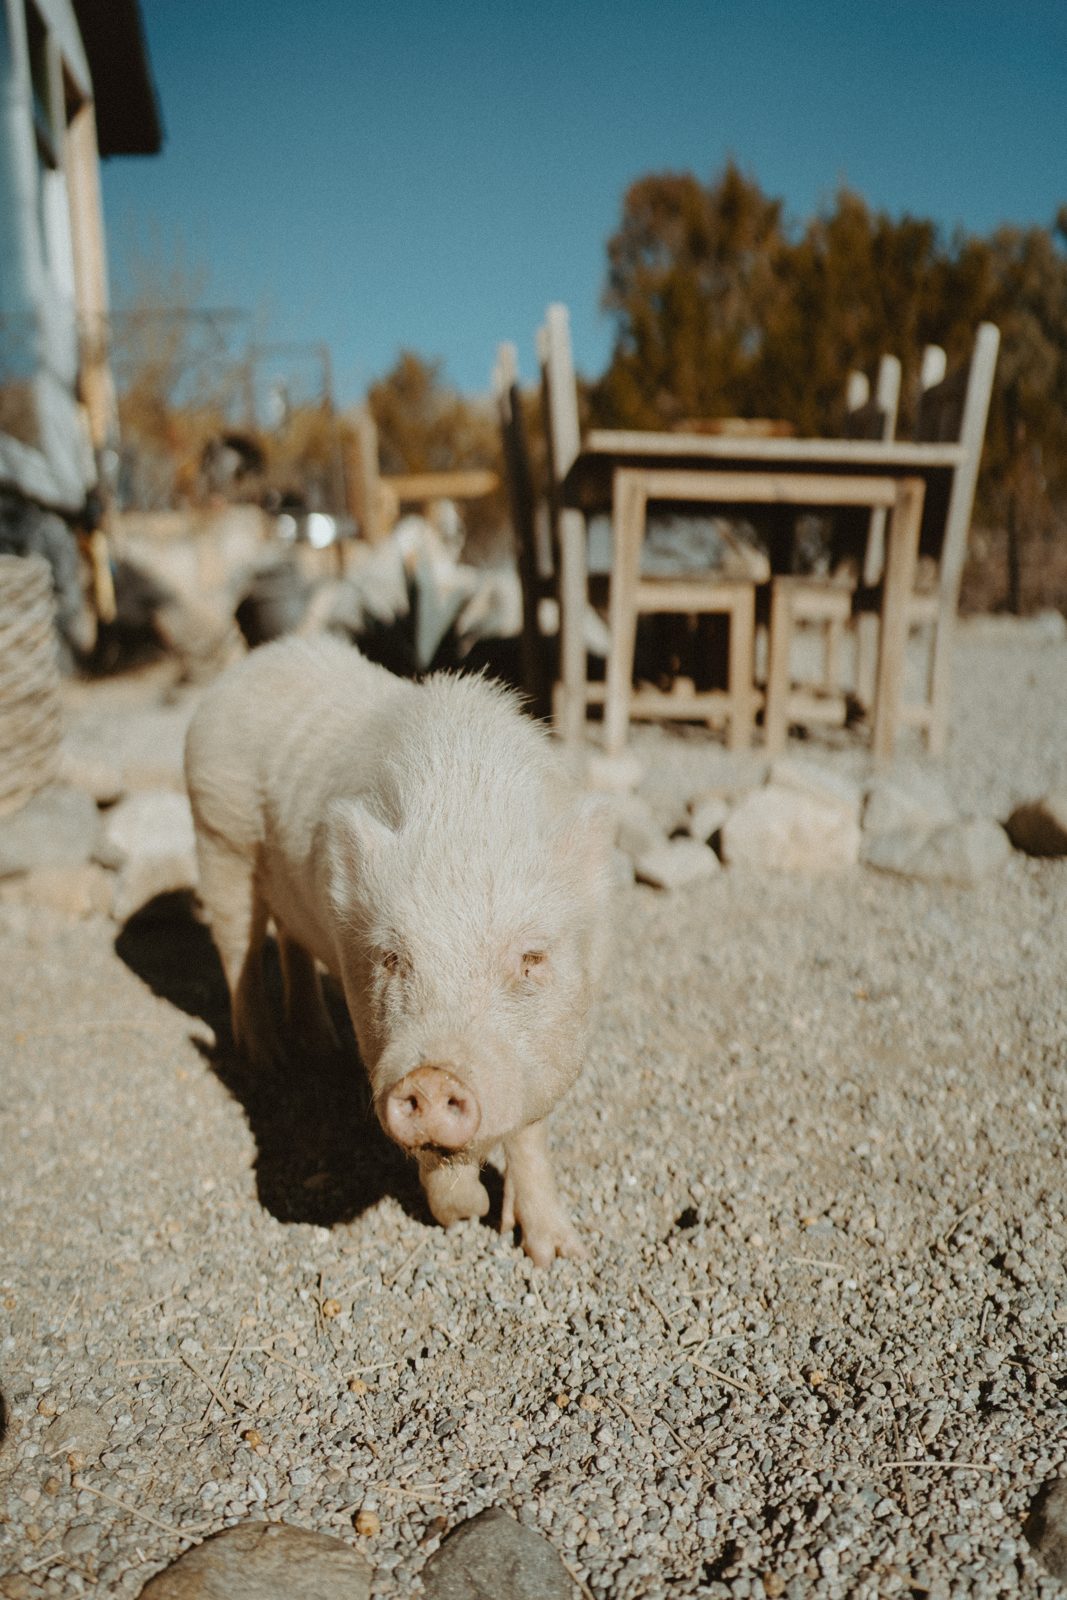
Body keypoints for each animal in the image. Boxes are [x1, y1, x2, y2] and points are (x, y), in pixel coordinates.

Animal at [184, 635, 611, 1265]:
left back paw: (320, 1047)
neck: (464, 813)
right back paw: (271, 1061)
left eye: (531, 960)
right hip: (218, 838)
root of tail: (247, 667)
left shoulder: (547, 1047)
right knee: (238, 943)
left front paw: (556, 1253)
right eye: (392, 958)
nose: (432, 1079)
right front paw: (468, 1212)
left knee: (289, 941)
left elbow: (529, 1133)